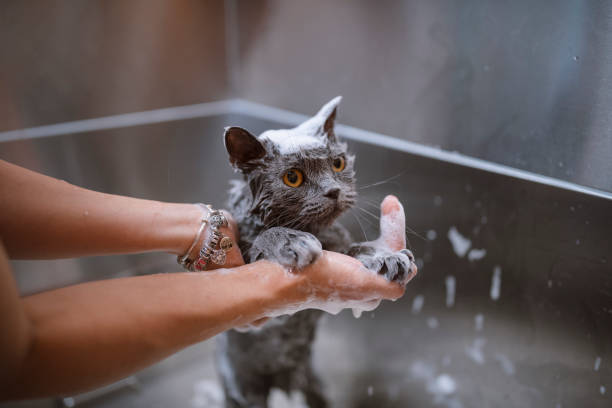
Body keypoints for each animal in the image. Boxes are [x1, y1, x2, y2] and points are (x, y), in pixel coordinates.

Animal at [216, 96, 416, 408]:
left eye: (338, 163)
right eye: (293, 177)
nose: (333, 191)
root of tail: (282, 380)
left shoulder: (341, 243)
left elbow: (358, 248)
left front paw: (385, 257)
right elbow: (264, 236)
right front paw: (291, 241)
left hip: (312, 384)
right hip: (244, 390)